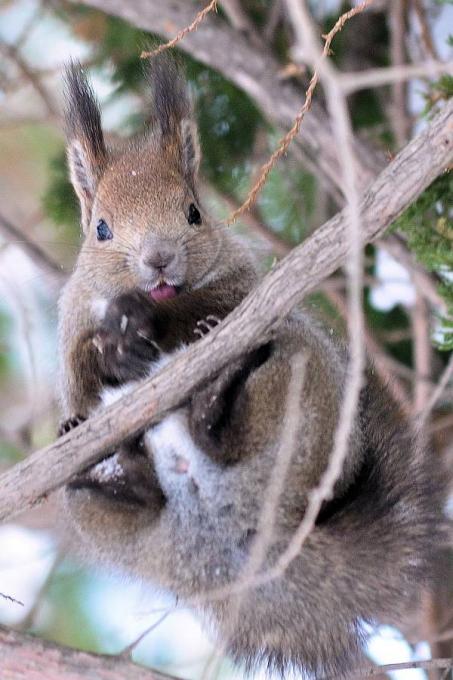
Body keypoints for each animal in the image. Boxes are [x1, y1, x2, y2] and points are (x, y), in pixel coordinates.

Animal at [58, 59, 444, 680]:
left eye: (193, 213)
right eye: (101, 228)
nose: (159, 259)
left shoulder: (240, 284)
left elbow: (216, 304)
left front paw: (176, 328)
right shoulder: (73, 322)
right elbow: (76, 375)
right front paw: (85, 401)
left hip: (296, 387)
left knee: (228, 429)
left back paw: (211, 403)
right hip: (103, 517)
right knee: (126, 493)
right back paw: (137, 462)